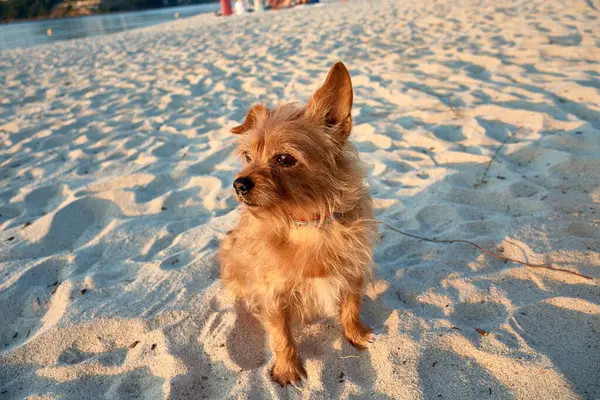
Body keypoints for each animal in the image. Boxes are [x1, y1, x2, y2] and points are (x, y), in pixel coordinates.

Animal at [218, 63, 378, 388]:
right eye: (248, 156)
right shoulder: (273, 293)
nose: (238, 184)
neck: (307, 223)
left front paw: (356, 333)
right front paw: (288, 369)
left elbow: (352, 306)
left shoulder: (353, 272)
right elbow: (281, 335)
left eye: (284, 158)